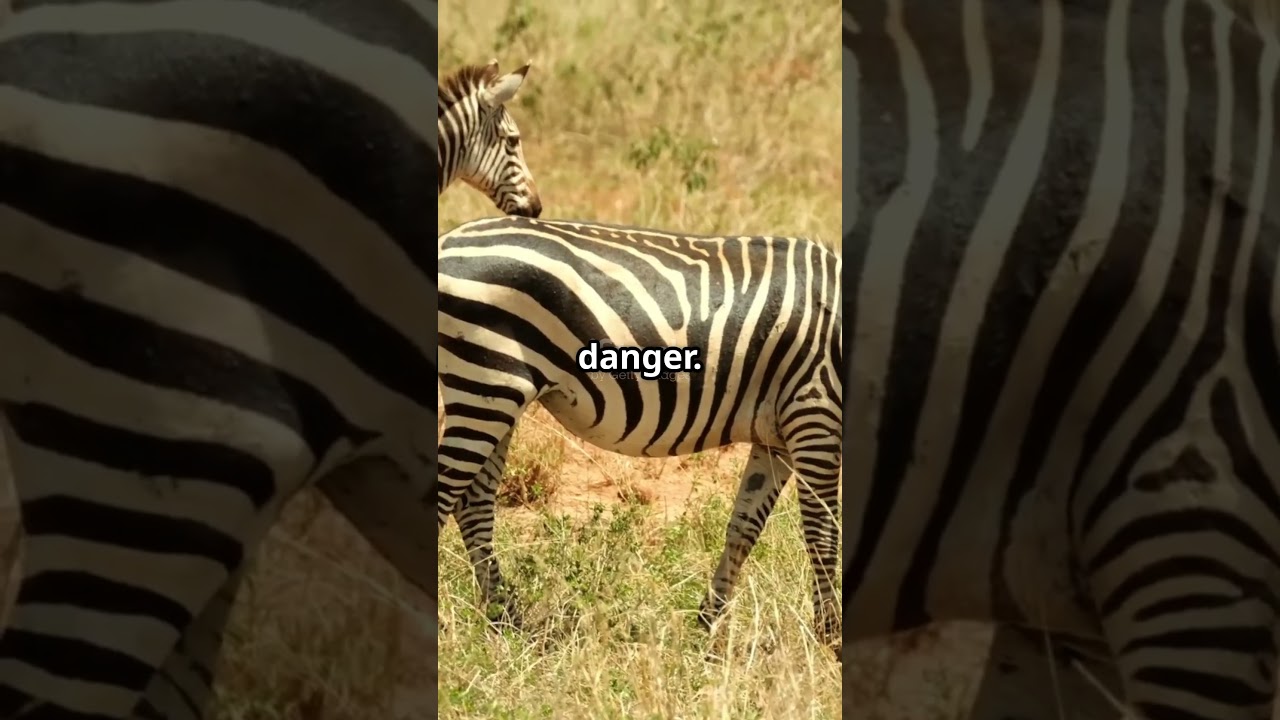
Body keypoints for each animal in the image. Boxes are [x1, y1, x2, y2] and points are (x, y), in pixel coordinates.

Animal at [436, 215, 843, 654]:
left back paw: (506, 622)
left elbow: (743, 528)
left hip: (495, 393)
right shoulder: (815, 414)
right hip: (487, 382)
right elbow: (823, 533)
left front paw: (708, 625)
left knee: (473, 504)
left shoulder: (775, 439)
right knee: (446, 498)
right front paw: (831, 637)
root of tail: (448, 240)